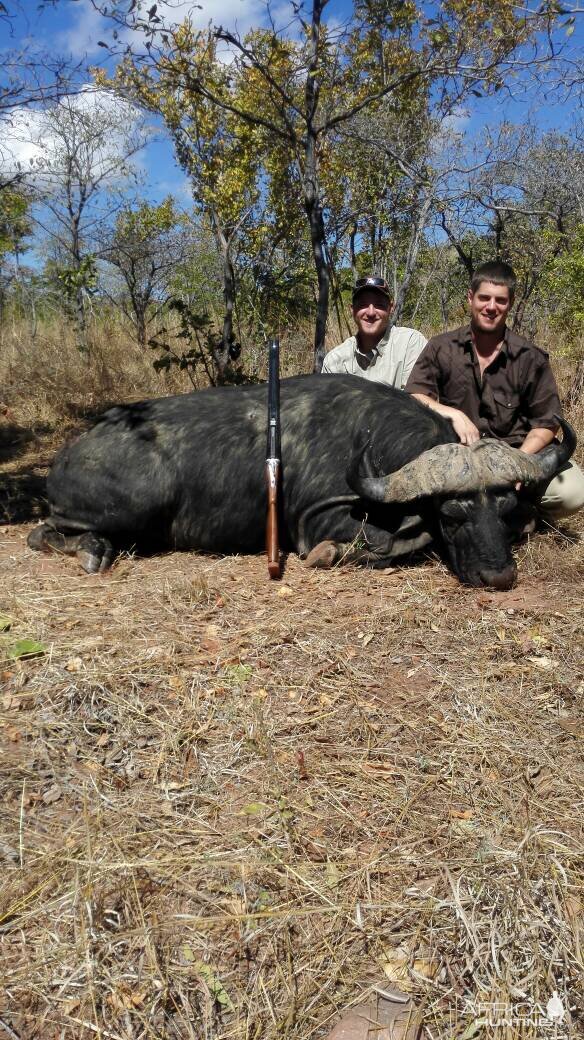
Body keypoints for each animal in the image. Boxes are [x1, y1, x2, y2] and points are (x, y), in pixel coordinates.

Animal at [27, 372, 573, 586]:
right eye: (453, 516)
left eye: (502, 511)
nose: (498, 577)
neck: (370, 435)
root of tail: (71, 451)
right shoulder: (318, 521)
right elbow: (396, 539)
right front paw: (332, 554)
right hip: (135, 501)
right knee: (42, 534)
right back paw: (93, 551)